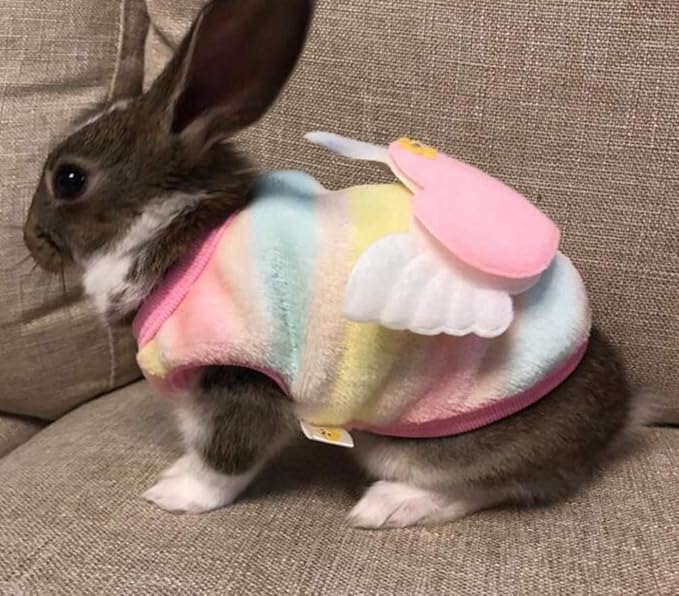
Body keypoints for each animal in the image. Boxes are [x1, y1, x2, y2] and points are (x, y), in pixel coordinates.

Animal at [23, 0, 642, 529]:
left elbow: (226, 458)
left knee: (494, 485)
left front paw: (176, 494)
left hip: (418, 443)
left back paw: (389, 505)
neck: (173, 226)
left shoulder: (241, 384)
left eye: (69, 179)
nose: (30, 241)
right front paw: (177, 474)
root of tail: (619, 417)